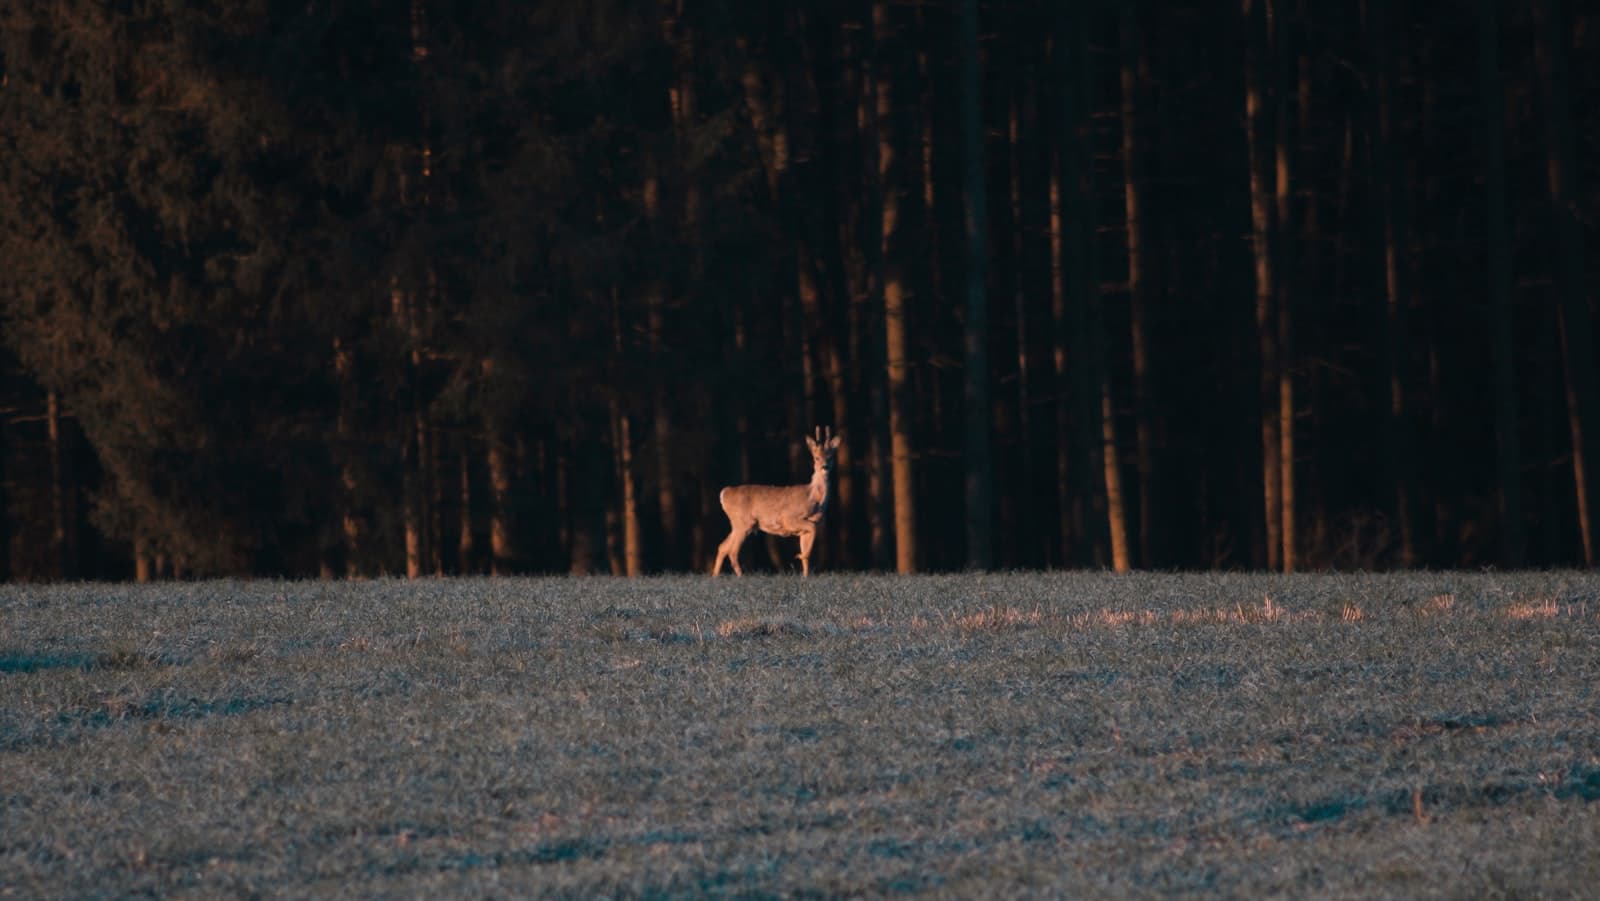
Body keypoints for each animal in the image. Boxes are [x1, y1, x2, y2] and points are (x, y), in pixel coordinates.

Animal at [712, 427, 841, 576]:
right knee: (732, 551)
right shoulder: (789, 518)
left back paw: (715, 576)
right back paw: (741, 576)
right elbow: (810, 536)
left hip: (738, 523)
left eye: (830, 457)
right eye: (816, 458)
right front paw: (799, 556)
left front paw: (805, 576)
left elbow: (807, 551)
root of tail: (724, 493)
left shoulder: (807, 526)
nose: (825, 467)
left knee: (722, 547)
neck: (813, 498)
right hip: (744, 522)